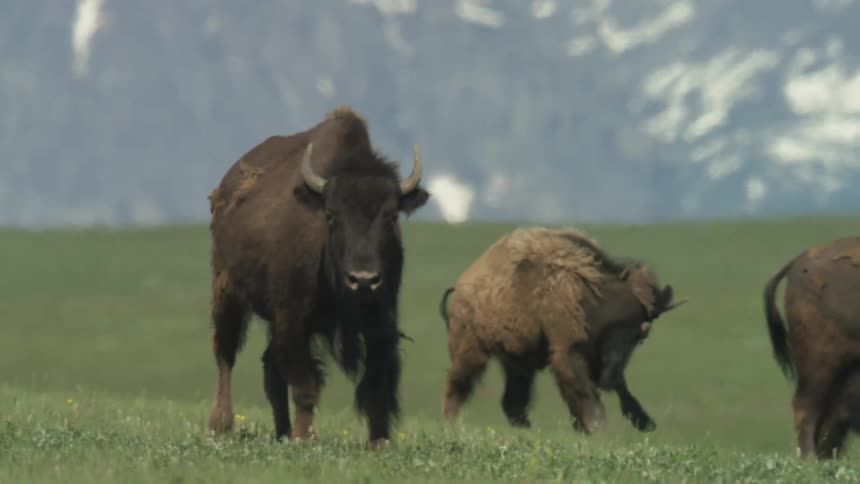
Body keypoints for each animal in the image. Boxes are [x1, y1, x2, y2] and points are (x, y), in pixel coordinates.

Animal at [206, 106, 429, 448]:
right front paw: (305, 438)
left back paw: (282, 432)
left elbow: (377, 384)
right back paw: (221, 425)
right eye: (331, 215)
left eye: (391, 216)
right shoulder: (293, 319)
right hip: (227, 292)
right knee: (225, 356)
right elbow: (305, 384)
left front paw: (380, 441)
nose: (363, 279)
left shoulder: (381, 322)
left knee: (270, 369)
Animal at [438, 227, 685, 433]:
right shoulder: (569, 349)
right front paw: (596, 425)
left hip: (518, 360)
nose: (609, 376)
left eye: (641, 336)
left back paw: (525, 426)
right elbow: (579, 386)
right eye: (636, 331)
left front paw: (644, 422)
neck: (593, 294)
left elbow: (610, 388)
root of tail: (460, 288)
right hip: (472, 350)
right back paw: (452, 420)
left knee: (512, 397)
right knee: (459, 381)